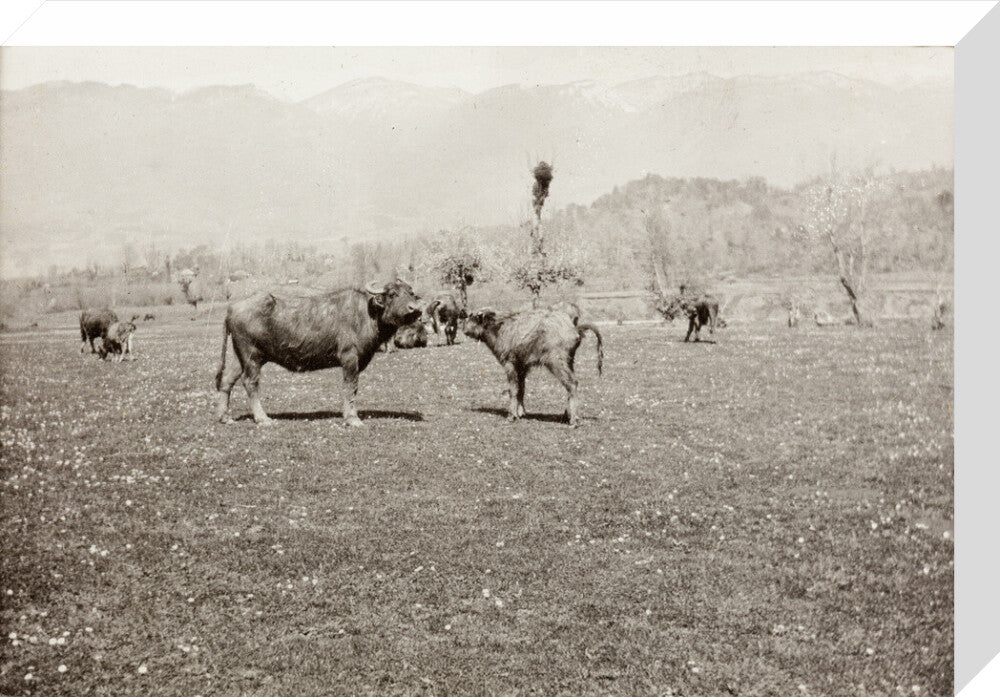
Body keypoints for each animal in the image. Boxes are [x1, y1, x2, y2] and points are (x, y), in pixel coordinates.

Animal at [215, 280, 422, 426]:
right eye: (393, 294)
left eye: (411, 293)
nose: (415, 310)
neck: (367, 314)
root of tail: (232, 308)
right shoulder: (349, 358)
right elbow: (351, 387)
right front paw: (352, 418)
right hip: (252, 355)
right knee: (250, 382)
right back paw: (262, 418)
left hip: (238, 356)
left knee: (227, 380)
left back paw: (225, 417)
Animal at [463, 307, 603, 427]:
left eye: (472, 316)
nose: (463, 327)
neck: (500, 327)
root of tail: (574, 329)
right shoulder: (522, 368)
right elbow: (521, 389)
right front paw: (520, 413)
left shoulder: (510, 364)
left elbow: (513, 390)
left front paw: (511, 415)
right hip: (569, 362)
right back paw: (566, 416)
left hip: (556, 363)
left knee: (571, 384)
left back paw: (573, 420)